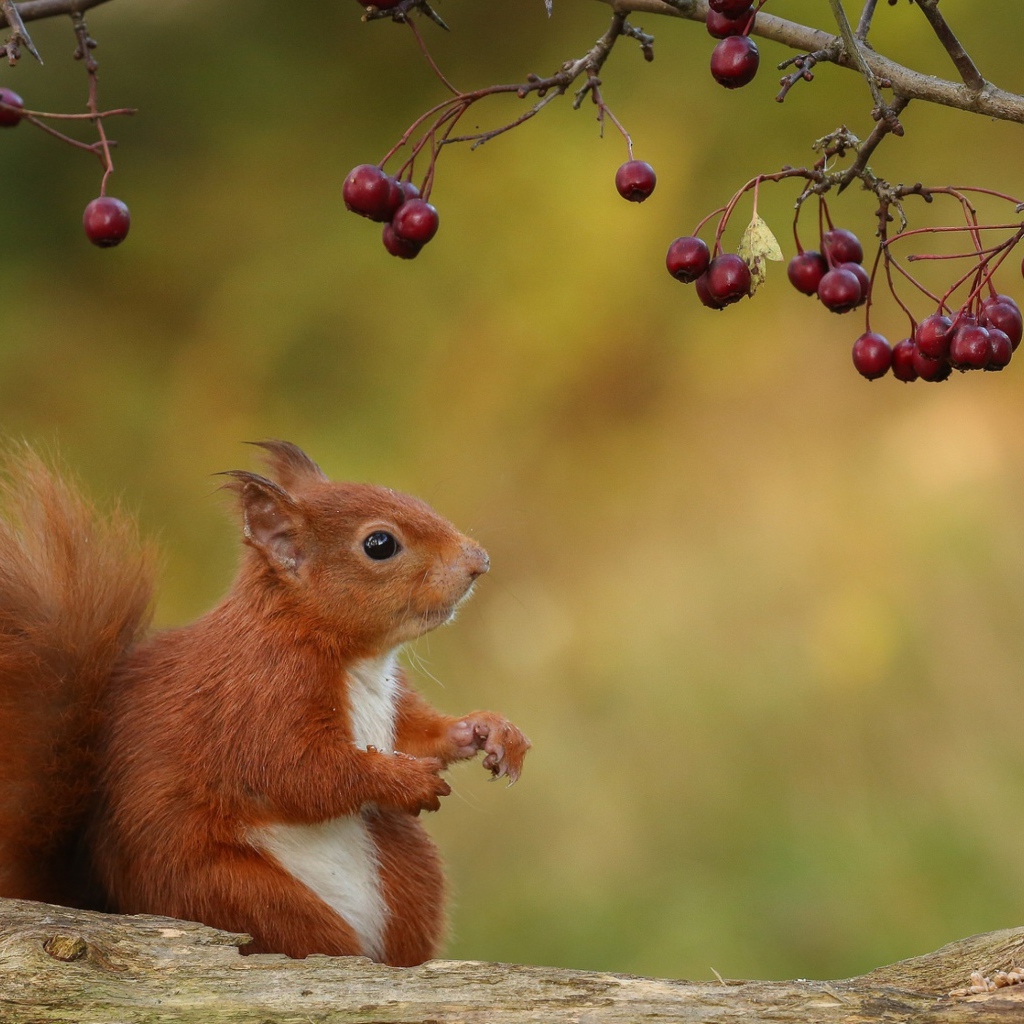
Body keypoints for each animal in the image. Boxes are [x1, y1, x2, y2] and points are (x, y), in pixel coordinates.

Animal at [0, 444, 528, 962]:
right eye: (380, 544)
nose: (479, 561)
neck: (351, 659)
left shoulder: (391, 703)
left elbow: (418, 735)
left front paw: (488, 731)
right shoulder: (258, 695)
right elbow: (296, 771)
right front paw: (405, 780)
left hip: (407, 872)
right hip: (232, 892)